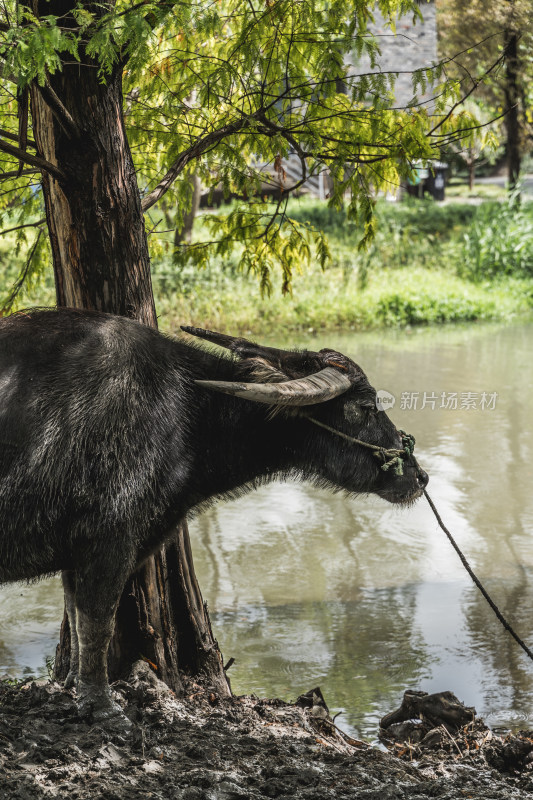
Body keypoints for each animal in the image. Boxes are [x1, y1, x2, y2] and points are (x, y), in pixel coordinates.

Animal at [0, 310, 426, 720]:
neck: (185, 412)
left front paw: (72, 683)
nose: (419, 476)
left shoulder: (79, 554)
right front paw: (102, 705)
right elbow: (98, 622)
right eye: (366, 407)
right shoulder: (109, 540)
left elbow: (74, 614)